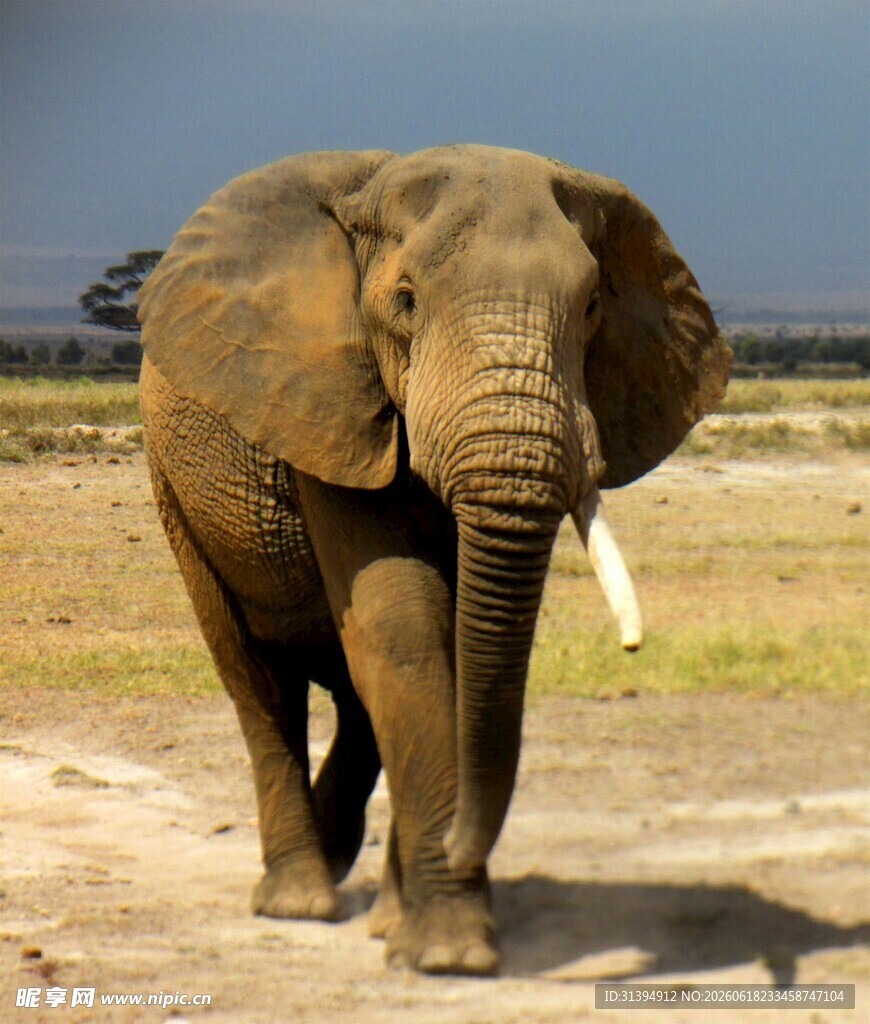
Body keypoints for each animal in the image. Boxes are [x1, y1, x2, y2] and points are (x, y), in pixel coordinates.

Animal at [137, 145, 730, 975]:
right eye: (406, 301)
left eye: (591, 309)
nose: (460, 846)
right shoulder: (334, 405)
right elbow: (405, 627)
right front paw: (453, 953)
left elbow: (448, 641)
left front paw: (416, 933)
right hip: (175, 489)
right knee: (257, 681)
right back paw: (302, 901)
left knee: (354, 693)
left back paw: (367, 898)